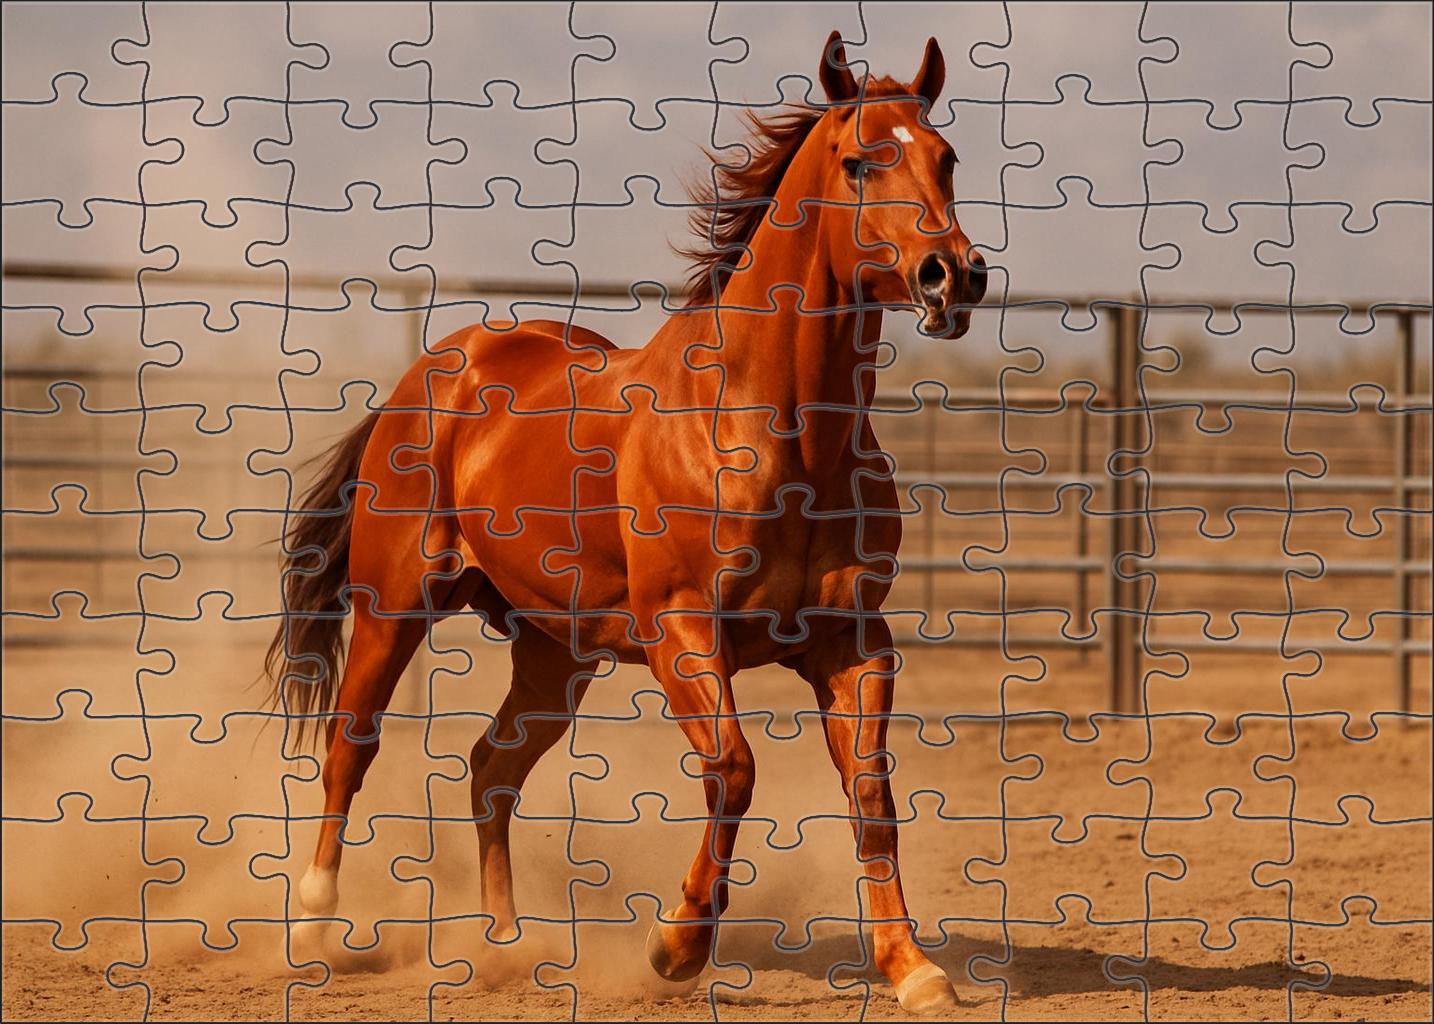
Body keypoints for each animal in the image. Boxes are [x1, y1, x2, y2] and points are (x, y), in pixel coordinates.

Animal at [266, 30, 987, 1013]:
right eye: (859, 160)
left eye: (945, 157)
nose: (952, 275)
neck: (778, 436)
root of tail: (435, 373)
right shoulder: (682, 632)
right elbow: (734, 771)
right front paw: (675, 947)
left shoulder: (852, 640)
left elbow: (871, 796)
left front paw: (913, 969)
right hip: (393, 610)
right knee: (351, 748)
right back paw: (312, 928)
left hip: (554, 653)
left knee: (490, 771)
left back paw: (505, 946)